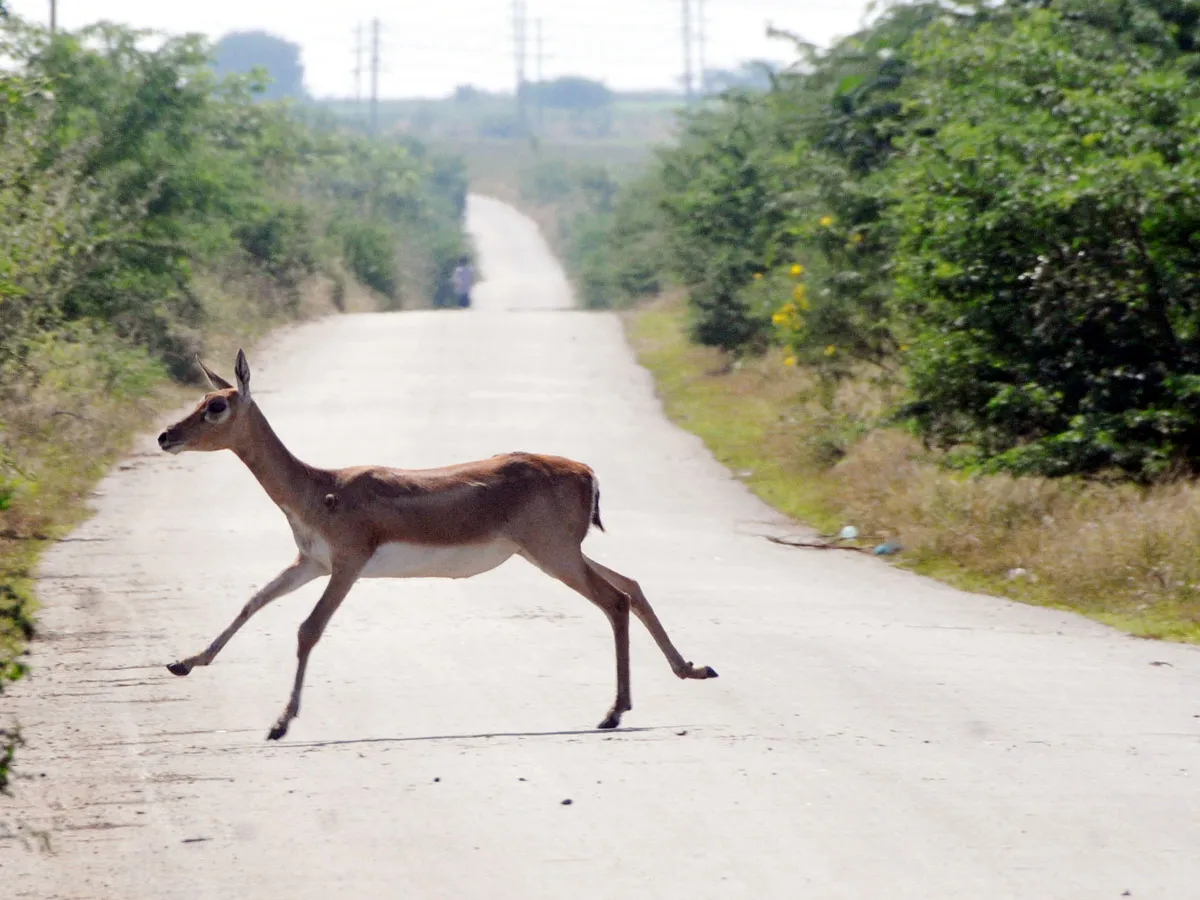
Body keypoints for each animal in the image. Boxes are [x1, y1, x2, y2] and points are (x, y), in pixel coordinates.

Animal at [162, 350, 720, 739]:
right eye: (198, 400)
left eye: (216, 405)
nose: (167, 436)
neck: (319, 488)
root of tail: (587, 471)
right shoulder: (310, 563)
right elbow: (252, 602)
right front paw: (183, 663)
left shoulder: (347, 564)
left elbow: (307, 629)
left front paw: (280, 723)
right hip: (556, 552)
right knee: (633, 585)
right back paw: (693, 669)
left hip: (554, 555)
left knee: (615, 599)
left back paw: (613, 713)